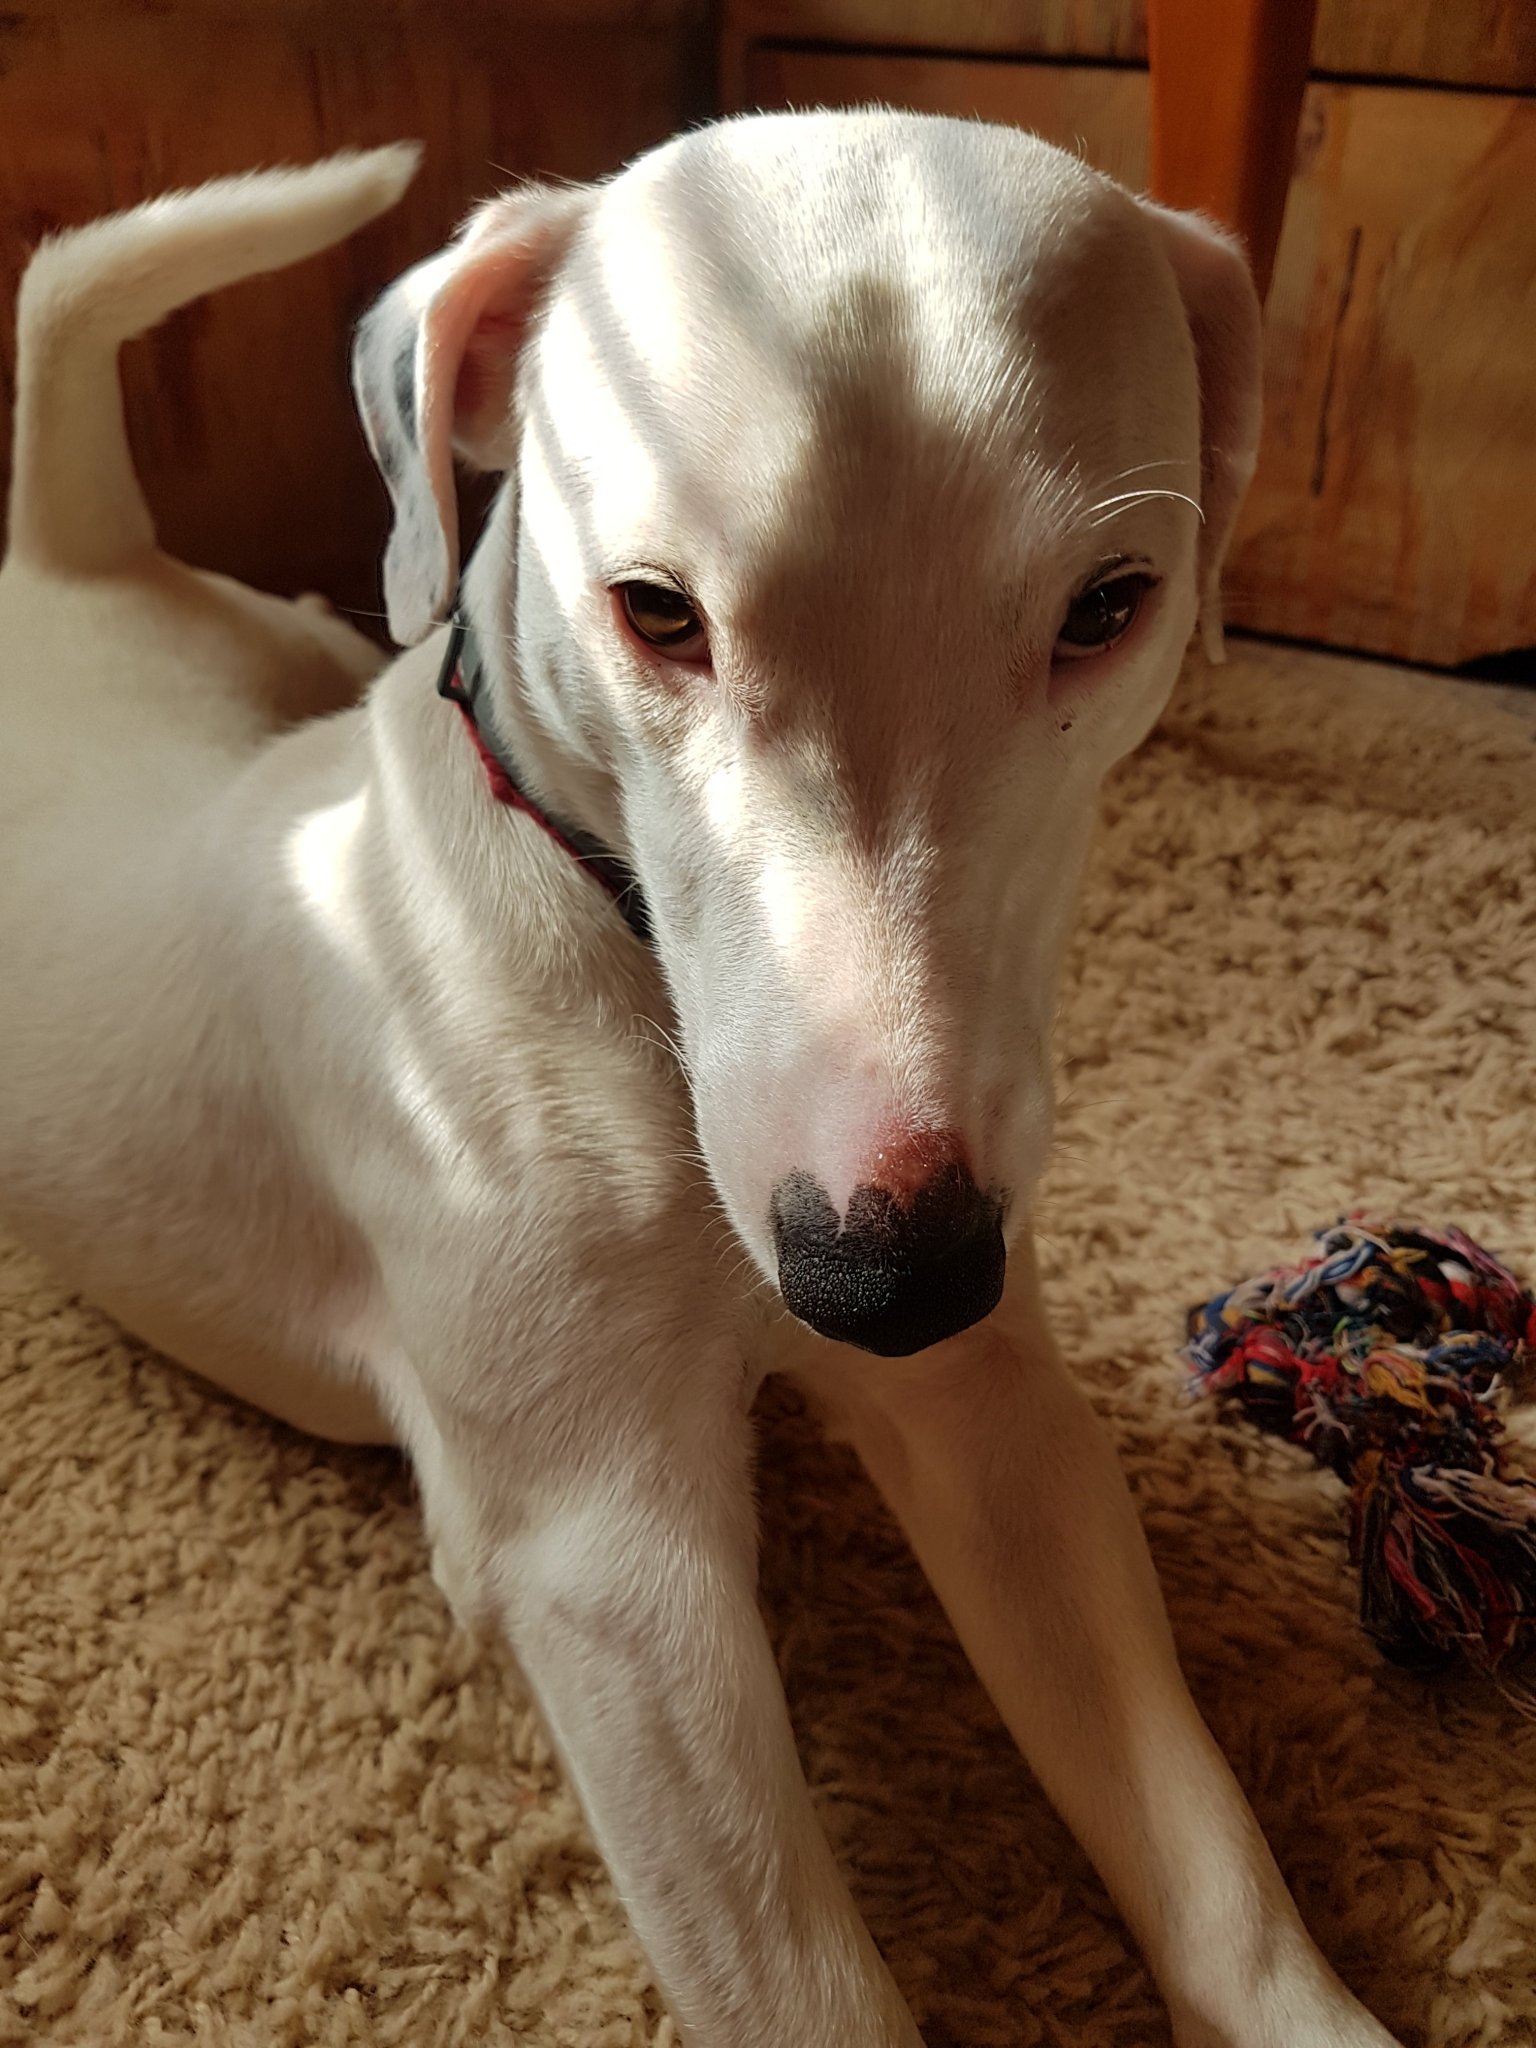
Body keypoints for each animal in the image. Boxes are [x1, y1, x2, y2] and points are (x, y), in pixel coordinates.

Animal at [0, 118, 1401, 2047]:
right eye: (657, 613)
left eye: (1112, 609)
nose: (890, 1276)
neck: (616, 949)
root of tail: (64, 563)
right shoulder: (607, 1564)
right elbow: (806, 1988)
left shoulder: (993, 1415)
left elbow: (1198, 1841)